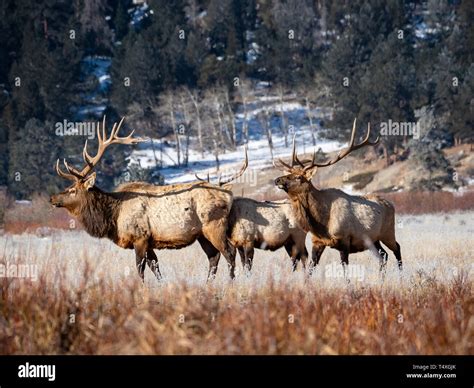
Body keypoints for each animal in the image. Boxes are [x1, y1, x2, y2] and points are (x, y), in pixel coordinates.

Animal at [51, 116, 248, 280]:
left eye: (72, 190)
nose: (52, 198)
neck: (113, 216)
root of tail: (228, 194)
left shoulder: (140, 238)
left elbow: (140, 270)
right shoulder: (150, 243)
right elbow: (156, 268)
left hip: (214, 226)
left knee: (230, 253)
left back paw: (230, 283)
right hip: (202, 234)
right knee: (214, 257)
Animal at [274, 119, 400, 274]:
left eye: (298, 177)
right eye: (290, 173)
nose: (277, 180)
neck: (321, 223)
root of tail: (391, 204)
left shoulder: (344, 240)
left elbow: (345, 269)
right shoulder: (317, 242)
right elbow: (310, 268)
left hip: (388, 232)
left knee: (396, 249)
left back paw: (401, 274)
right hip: (373, 239)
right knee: (384, 256)